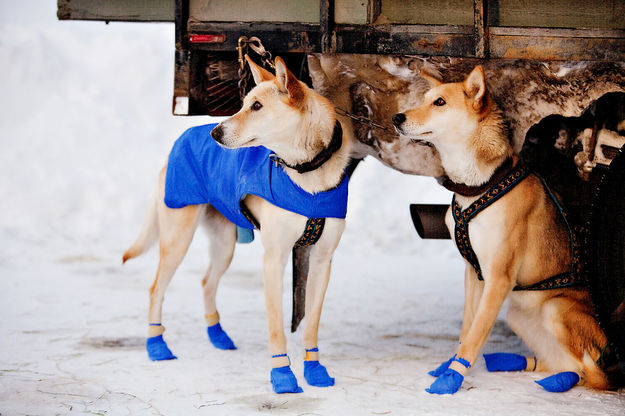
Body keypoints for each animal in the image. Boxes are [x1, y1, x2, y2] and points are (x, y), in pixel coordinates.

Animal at [123, 55, 352, 394]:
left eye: (257, 106)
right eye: (244, 103)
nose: (215, 134)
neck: (307, 171)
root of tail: (181, 138)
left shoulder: (323, 260)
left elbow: (311, 324)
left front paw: (314, 370)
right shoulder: (274, 259)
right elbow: (276, 328)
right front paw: (282, 376)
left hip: (224, 244)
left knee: (206, 282)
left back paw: (217, 334)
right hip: (178, 237)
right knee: (155, 289)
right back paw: (157, 346)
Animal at [392, 66, 612, 394]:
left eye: (439, 102)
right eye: (424, 99)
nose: (397, 117)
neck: (478, 186)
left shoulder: (499, 277)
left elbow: (476, 333)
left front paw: (452, 377)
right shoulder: (474, 273)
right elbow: (467, 327)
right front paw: (449, 366)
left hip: (555, 309)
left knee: (596, 375)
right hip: (517, 315)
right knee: (567, 366)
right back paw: (524, 366)